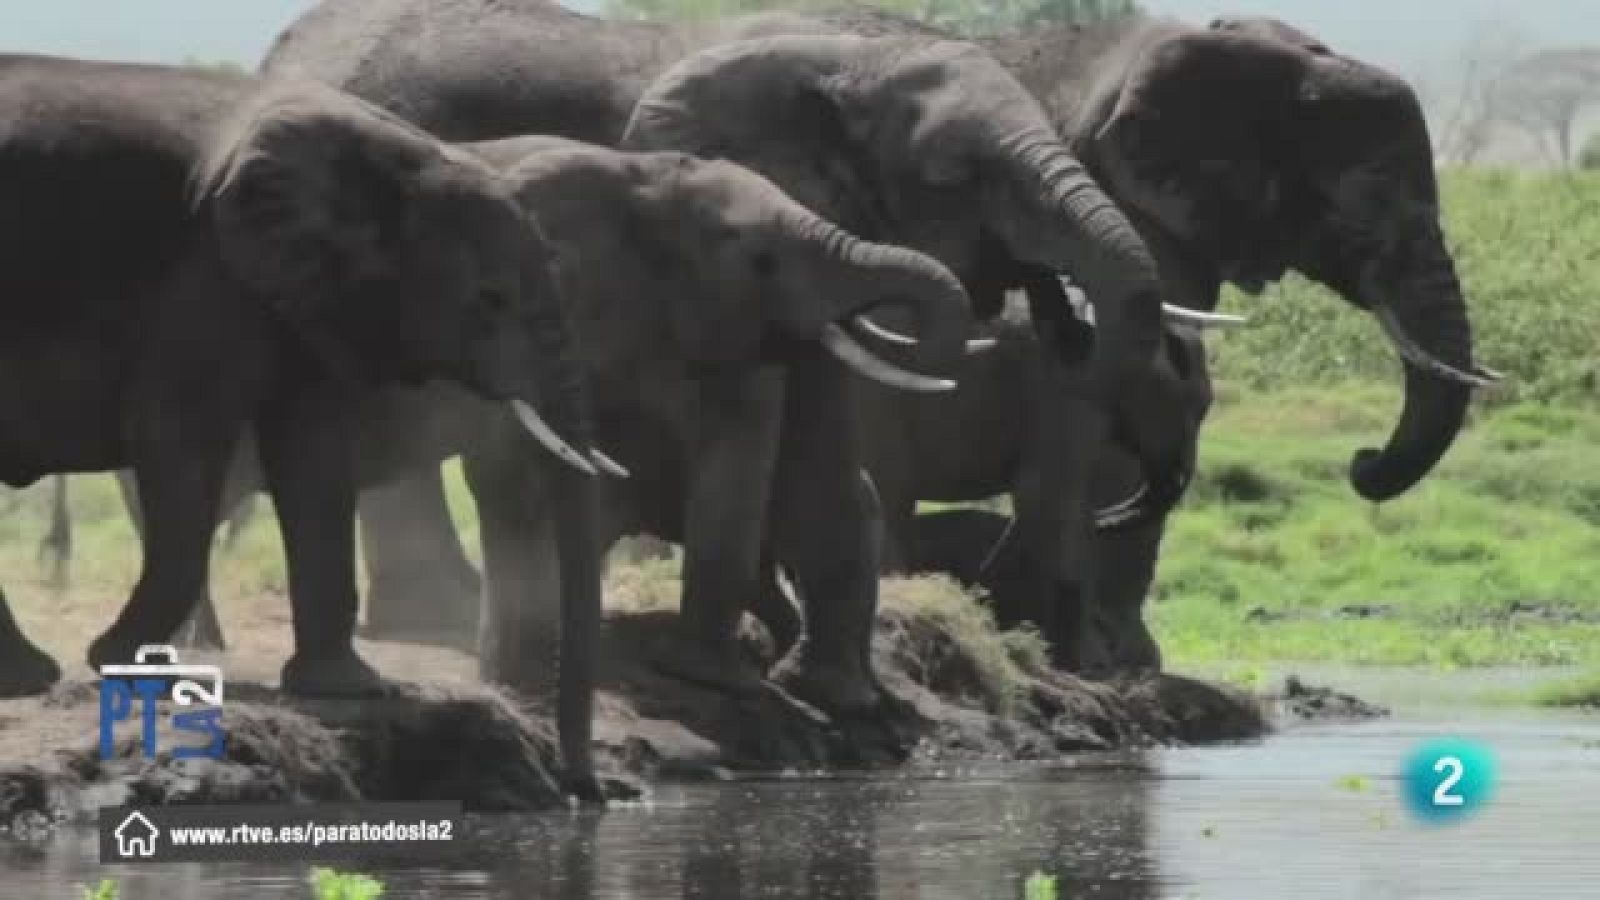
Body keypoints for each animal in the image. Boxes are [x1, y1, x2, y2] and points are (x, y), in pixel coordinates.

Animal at [0, 54, 600, 747]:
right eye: (490, 299)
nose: (580, 775)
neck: (398, 159)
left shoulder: (305, 290)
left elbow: (313, 457)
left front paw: (351, 690)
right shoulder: (209, 274)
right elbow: (180, 437)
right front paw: (125, 664)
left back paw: (24, 677)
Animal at [267, 5, 1189, 699]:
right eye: (959, 175)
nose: (1062, 319)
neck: (850, 56)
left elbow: (824, 464)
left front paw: (825, 688)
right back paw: (437, 619)